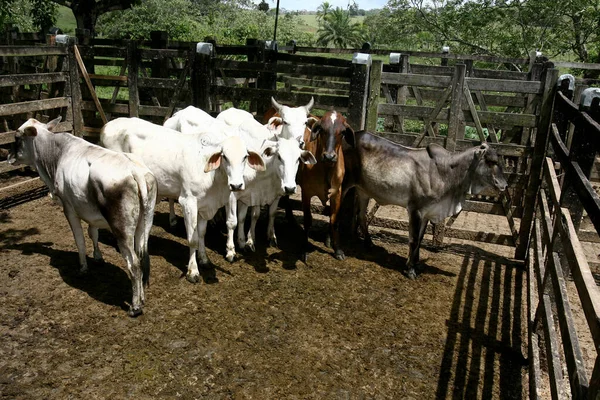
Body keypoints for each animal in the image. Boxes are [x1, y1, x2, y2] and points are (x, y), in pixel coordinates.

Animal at [7, 117, 157, 318]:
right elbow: (93, 233)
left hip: (122, 229)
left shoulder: (69, 208)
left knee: (134, 264)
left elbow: (79, 240)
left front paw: (83, 268)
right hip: (144, 224)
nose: (9, 156)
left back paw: (135, 307)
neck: (56, 156)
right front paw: (98, 257)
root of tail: (136, 171)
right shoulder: (90, 212)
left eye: (17, 137)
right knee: (141, 257)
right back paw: (141, 299)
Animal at [101, 117, 264, 282]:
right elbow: (192, 239)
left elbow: (201, 233)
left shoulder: (205, 205)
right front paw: (193, 271)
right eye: (224, 156)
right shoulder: (188, 203)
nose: (236, 185)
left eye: (245, 157)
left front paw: (204, 259)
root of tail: (107, 125)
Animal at [298, 111, 354, 260]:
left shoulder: (337, 192)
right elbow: (307, 219)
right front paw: (304, 248)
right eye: (322, 130)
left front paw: (337, 249)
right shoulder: (306, 192)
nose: (329, 156)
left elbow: (334, 220)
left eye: (342, 132)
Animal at [342, 133, 506, 280]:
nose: (504, 184)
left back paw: (368, 243)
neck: (447, 173)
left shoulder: (428, 213)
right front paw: (410, 270)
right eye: (491, 161)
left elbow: (420, 239)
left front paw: (416, 263)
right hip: (346, 184)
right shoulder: (416, 210)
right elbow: (414, 239)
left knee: (361, 216)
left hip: (363, 191)